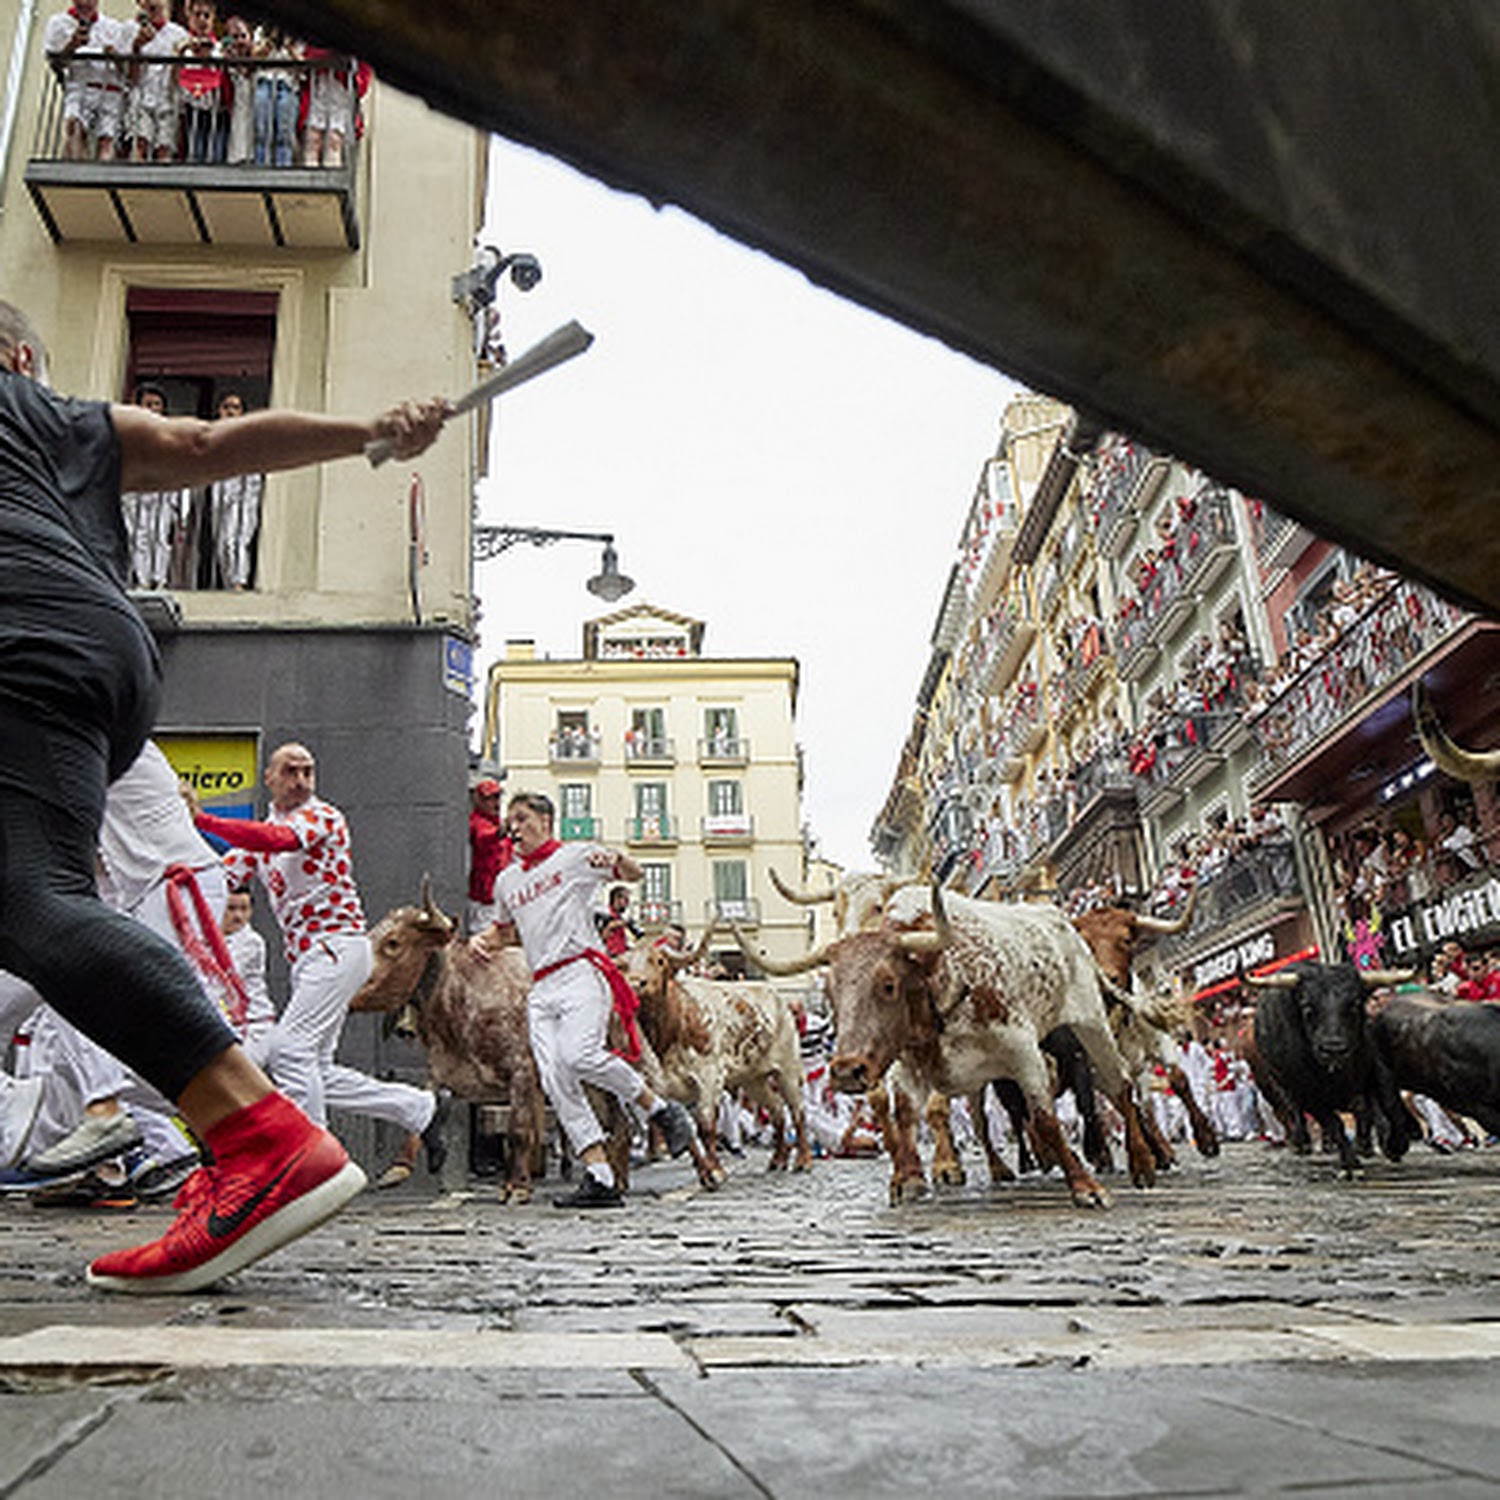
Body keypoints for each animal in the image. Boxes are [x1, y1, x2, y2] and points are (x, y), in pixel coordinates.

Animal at [1242, 960, 1416, 1170]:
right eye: (1307, 1008)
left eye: (1355, 1004)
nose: (1334, 1049)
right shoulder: (1307, 1093)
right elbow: (1333, 1123)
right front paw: (1350, 1163)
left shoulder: (1376, 1068)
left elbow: (1389, 1107)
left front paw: (1394, 1145)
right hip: (1278, 1085)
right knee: (1294, 1111)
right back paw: (1303, 1143)